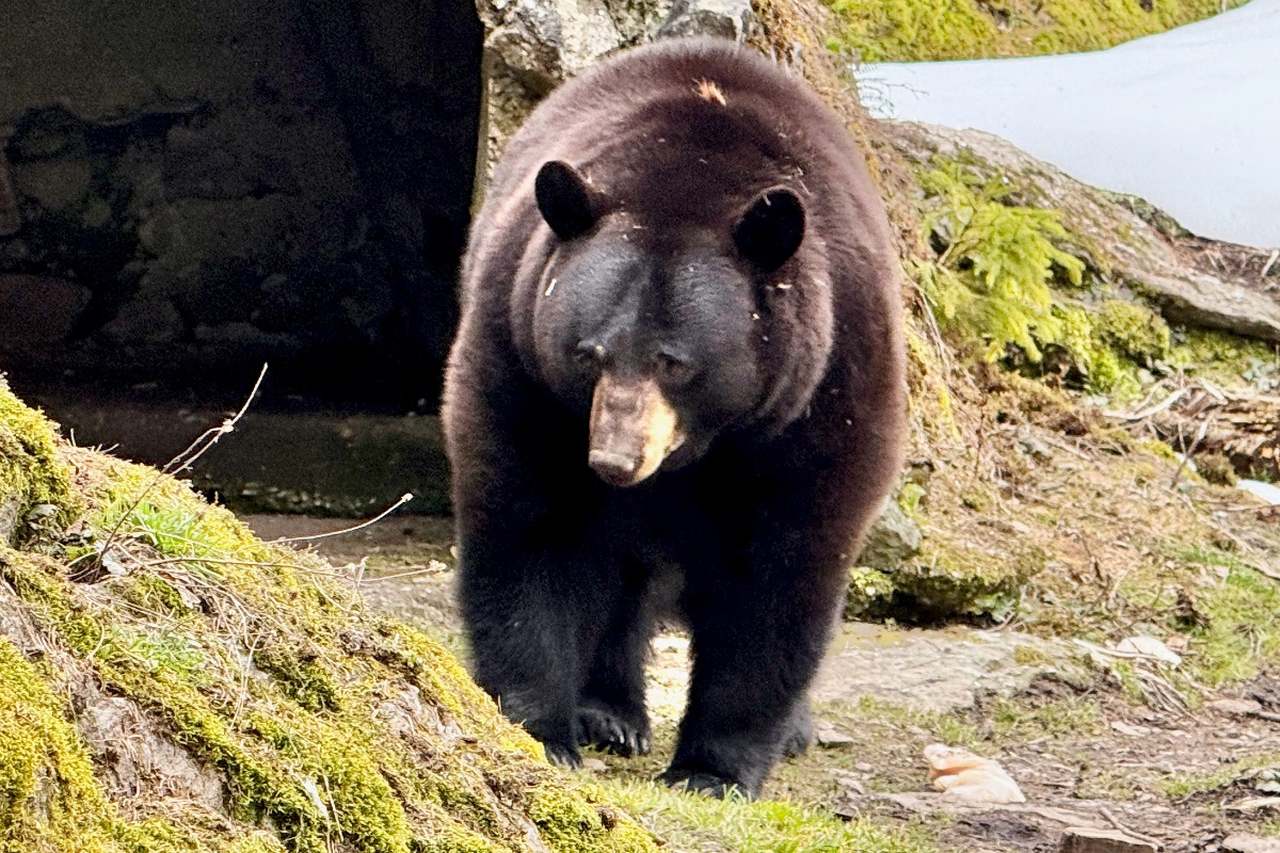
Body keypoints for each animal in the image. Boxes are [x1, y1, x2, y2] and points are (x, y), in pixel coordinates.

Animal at [441, 36, 906, 797]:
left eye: (676, 363)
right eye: (587, 352)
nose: (614, 460)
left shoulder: (825, 389)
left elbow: (781, 569)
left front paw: (712, 768)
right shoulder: (520, 359)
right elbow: (531, 522)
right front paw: (543, 728)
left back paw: (790, 729)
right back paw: (610, 711)